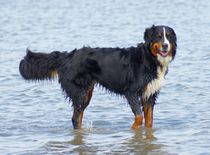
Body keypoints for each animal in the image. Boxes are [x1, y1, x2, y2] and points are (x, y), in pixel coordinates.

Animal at [18, 25, 176, 130]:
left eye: (168, 36)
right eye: (159, 36)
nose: (165, 46)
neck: (150, 59)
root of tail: (68, 56)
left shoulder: (150, 94)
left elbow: (149, 120)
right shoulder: (130, 91)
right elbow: (139, 117)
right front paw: (132, 129)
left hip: (86, 93)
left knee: (78, 116)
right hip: (80, 92)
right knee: (75, 117)